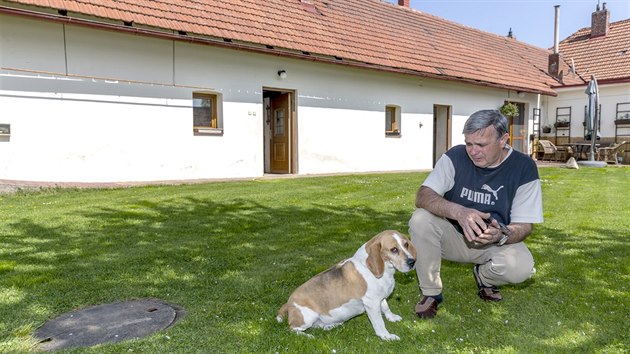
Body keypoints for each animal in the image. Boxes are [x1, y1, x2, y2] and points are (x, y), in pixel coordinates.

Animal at [278, 230, 420, 340]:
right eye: (394, 250)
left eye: (406, 244)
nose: (412, 262)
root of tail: (289, 303)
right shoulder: (372, 303)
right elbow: (379, 323)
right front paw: (386, 336)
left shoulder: (380, 298)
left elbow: (385, 307)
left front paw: (391, 317)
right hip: (307, 317)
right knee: (292, 329)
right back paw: (308, 336)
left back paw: (331, 325)